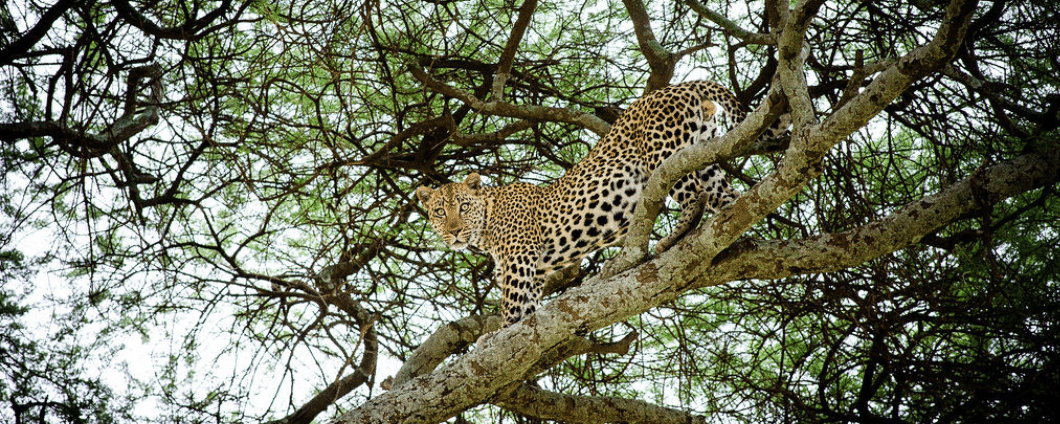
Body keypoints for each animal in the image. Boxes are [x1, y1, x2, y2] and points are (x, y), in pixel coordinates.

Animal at [415, 81, 788, 328]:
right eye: (439, 212)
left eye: (463, 207)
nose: (454, 232)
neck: (486, 225)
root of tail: (683, 84)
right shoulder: (535, 271)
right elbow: (529, 306)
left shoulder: (520, 260)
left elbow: (512, 304)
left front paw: (500, 334)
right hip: (704, 154)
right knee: (726, 196)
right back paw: (729, 227)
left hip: (665, 153)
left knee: (694, 196)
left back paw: (670, 240)